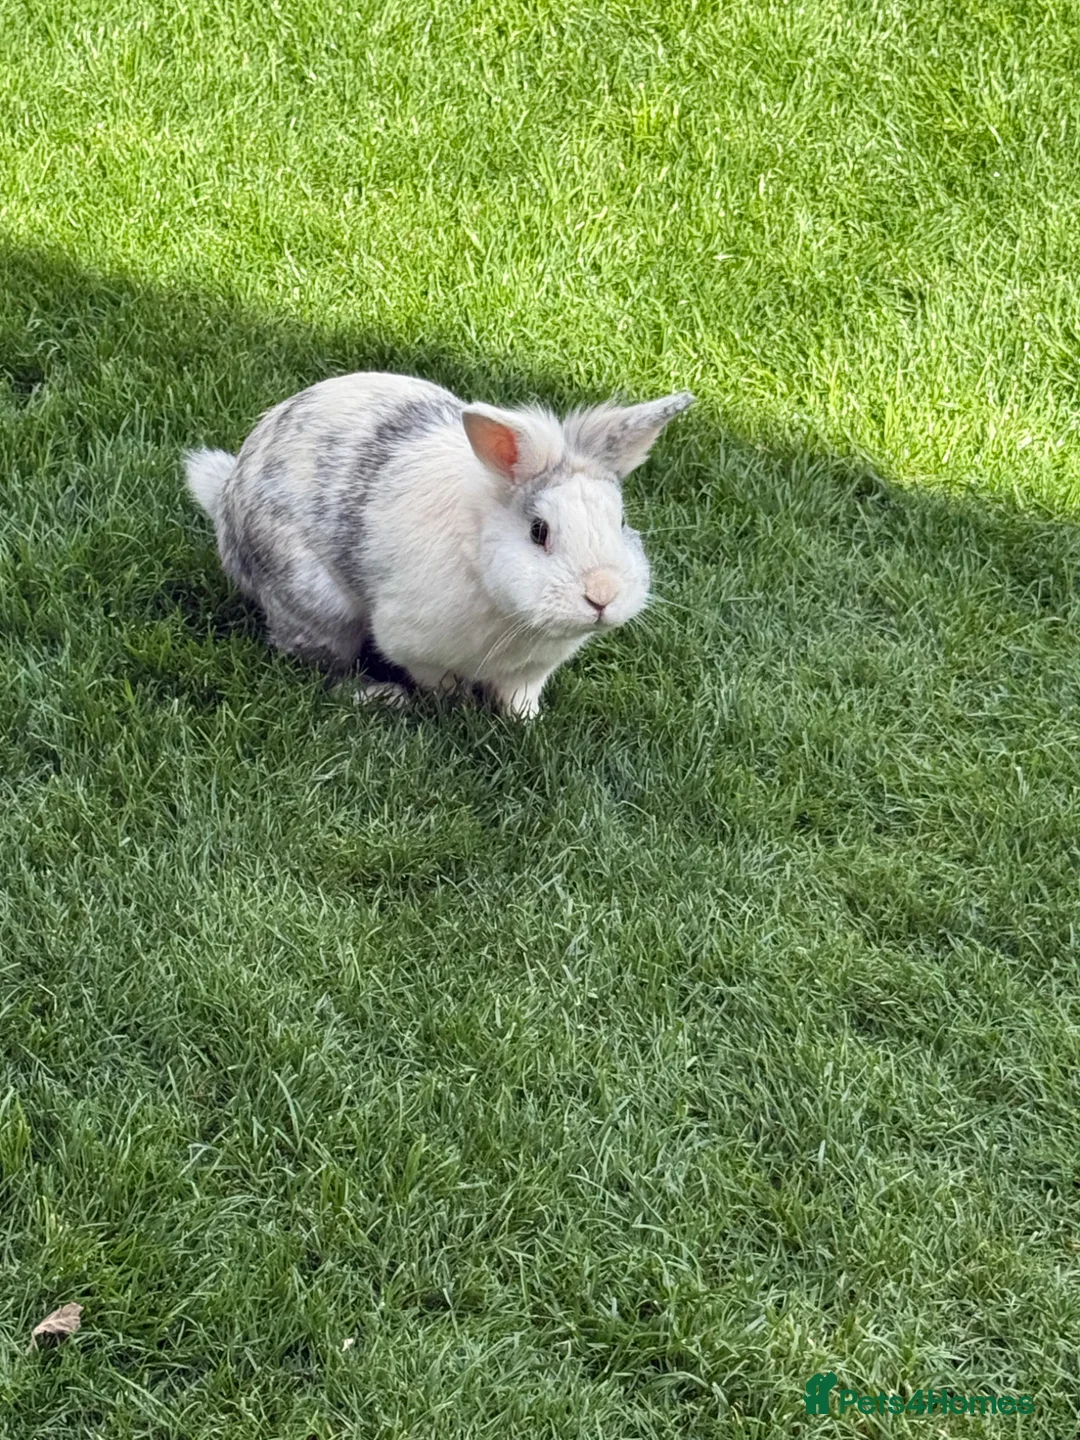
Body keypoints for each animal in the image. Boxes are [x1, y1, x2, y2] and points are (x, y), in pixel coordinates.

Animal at [184, 373, 693, 719]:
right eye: (539, 531)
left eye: (621, 520)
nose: (602, 595)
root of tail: (226, 498)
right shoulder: (418, 649)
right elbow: (439, 683)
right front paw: (454, 707)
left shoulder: (532, 671)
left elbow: (519, 698)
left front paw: (526, 722)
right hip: (317, 608)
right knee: (323, 669)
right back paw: (381, 696)